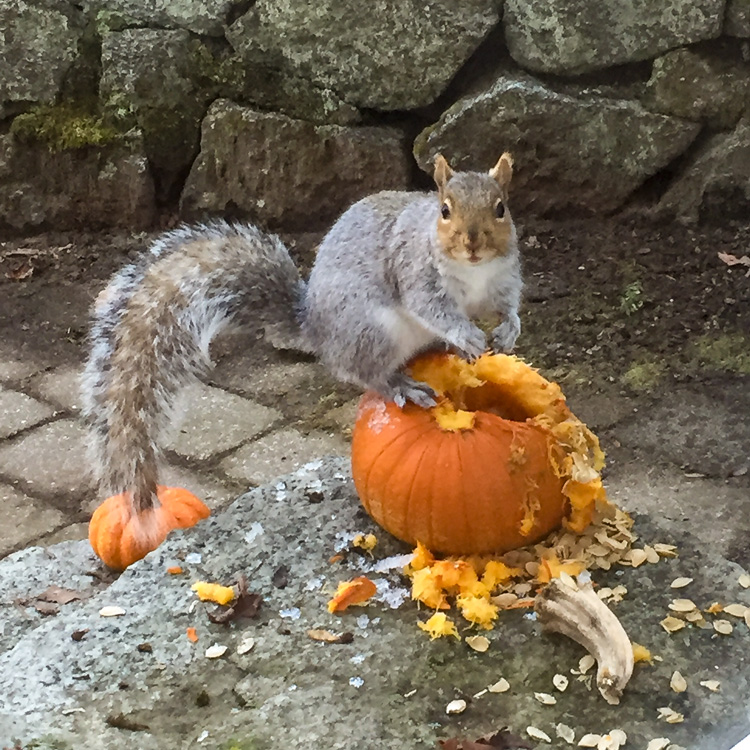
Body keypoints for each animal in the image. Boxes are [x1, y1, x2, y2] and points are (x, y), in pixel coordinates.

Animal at [78, 152, 524, 524]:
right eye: (444, 210)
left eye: (501, 208)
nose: (473, 242)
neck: (474, 271)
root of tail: (315, 326)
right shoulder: (416, 273)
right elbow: (435, 309)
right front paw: (467, 334)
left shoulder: (502, 279)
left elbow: (509, 304)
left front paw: (507, 330)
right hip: (371, 330)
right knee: (364, 373)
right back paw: (402, 384)